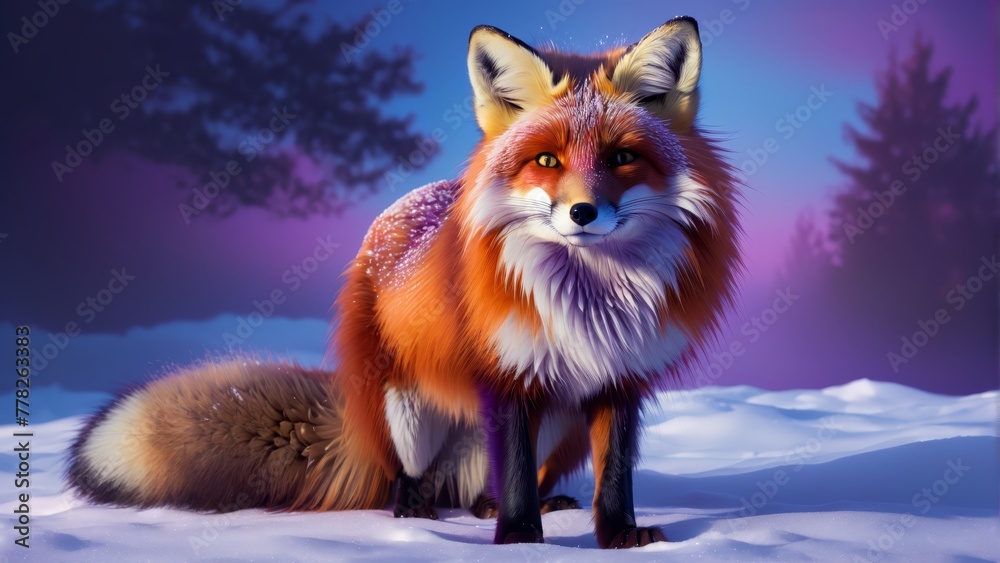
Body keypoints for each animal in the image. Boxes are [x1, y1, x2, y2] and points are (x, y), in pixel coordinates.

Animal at [67, 16, 741, 549]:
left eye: (621, 157)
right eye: (547, 160)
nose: (582, 213)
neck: (592, 303)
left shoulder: (621, 376)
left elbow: (614, 476)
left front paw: (619, 537)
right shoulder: (504, 375)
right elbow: (515, 474)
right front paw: (521, 544)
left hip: (561, 424)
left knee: (482, 493)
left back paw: (505, 506)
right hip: (406, 411)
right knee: (414, 479)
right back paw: (416, 519)